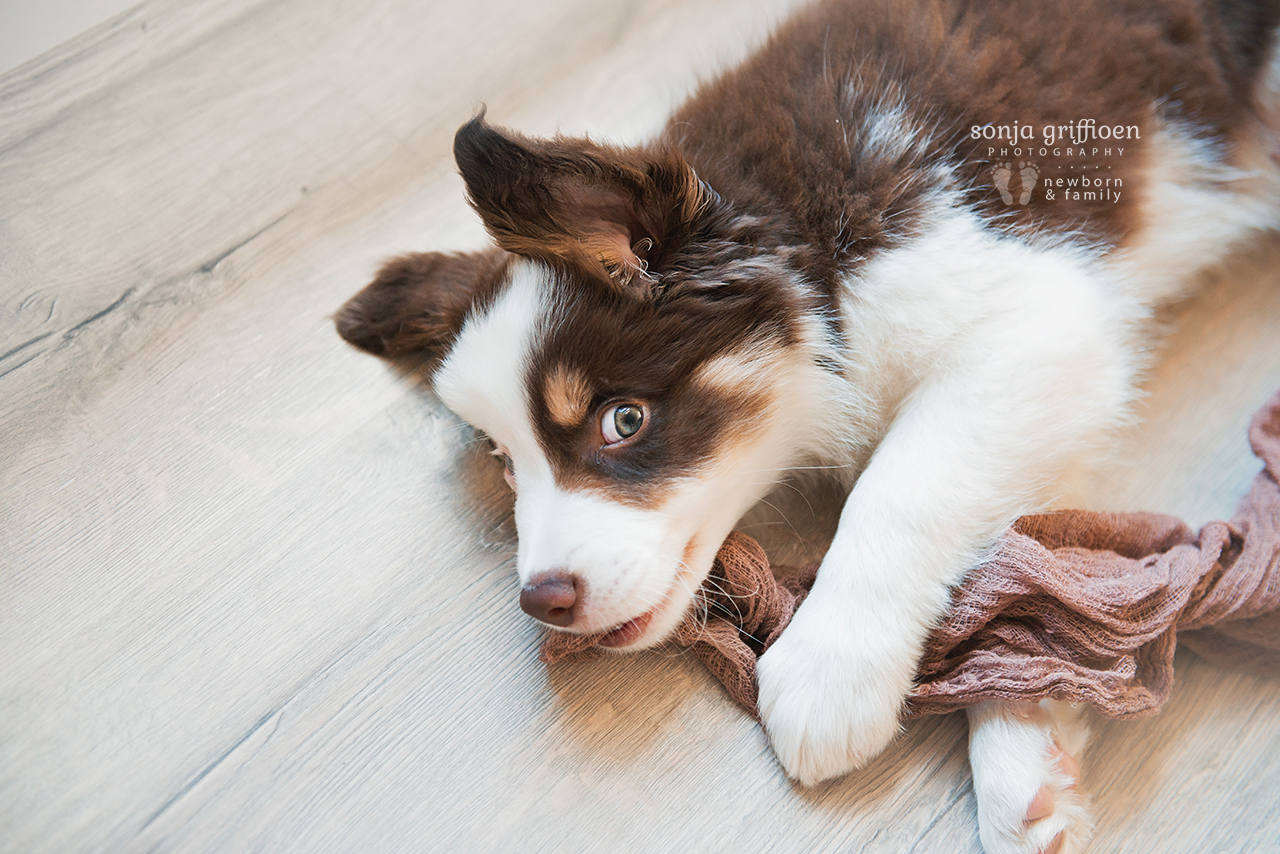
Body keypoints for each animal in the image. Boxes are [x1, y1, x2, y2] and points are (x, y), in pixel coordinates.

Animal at [337, 3, 1280, 850]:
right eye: (504, 460)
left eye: (623, 420)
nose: (544, 600)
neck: (798, 228)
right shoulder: (1050, 378)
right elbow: (1034, 549)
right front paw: (1027, 746)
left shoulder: (1038, 318)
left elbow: (904, 485)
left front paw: (833, 670)